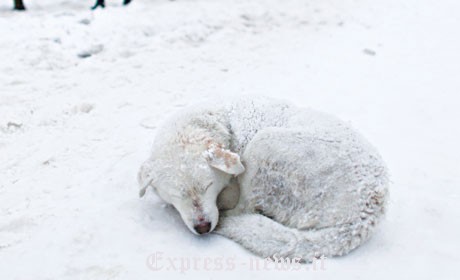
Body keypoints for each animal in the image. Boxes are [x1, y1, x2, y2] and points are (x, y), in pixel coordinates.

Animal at [137, 97, 388, 262]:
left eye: (207, 186)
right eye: (178, 195)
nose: (203, 227)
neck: (222, 125)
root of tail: (366, 212)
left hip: (264, 143)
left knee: (244, 209)